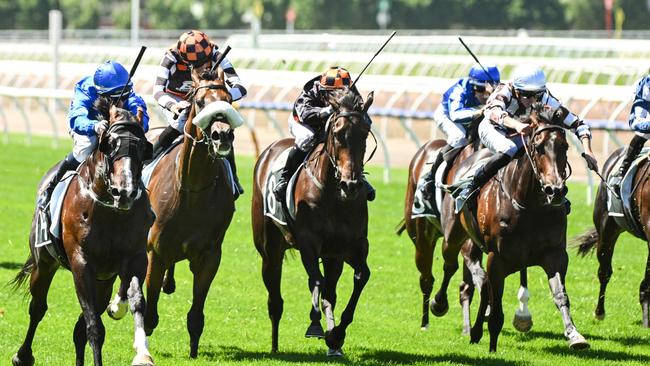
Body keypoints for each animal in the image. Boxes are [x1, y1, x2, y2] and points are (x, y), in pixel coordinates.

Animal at [13, 100, 156, 366]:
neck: (111, 211)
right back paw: (23, 356)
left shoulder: (135, 257)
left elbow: (136, 301)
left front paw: (142, 352)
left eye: (142, 146)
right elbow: (94, 327)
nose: (125, 191)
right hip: (44, 263)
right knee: (38, 308)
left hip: (103, 281)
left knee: (78, 328)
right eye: (110, 144)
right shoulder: (82, 262)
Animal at [105, 66, 239, 358]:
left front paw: (193, 350)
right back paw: (118, 304)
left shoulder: (210, 255)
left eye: (229, 100)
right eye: (200, 102)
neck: (192, 191)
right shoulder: (155, 252)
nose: (222, 135)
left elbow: (196, 314)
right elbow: (149, 312)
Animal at [253, 87, 374, 356]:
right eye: (338, 134)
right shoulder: (309, 242)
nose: (351, 185)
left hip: (332, 257)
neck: (335, 196)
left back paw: (333, 343)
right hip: (270, 250)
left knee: (330, 292)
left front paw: (336, 334)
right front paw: (316, 325)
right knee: (275, 300)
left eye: (365, 133)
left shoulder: (351, 246)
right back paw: (274, 346)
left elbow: (361, 276)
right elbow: (315, 280)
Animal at [436, 103, 588, 352]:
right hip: (454, 235)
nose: (555, 190)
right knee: (451, 265)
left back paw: (475, 330)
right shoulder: (497, 258)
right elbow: (496, 305)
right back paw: (438, 304)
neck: (529, 206)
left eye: (564, 146)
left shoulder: (554, 255)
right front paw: (492, 346)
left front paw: (574, 335)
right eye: (539, 147)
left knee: (482, 286)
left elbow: (560, 295)